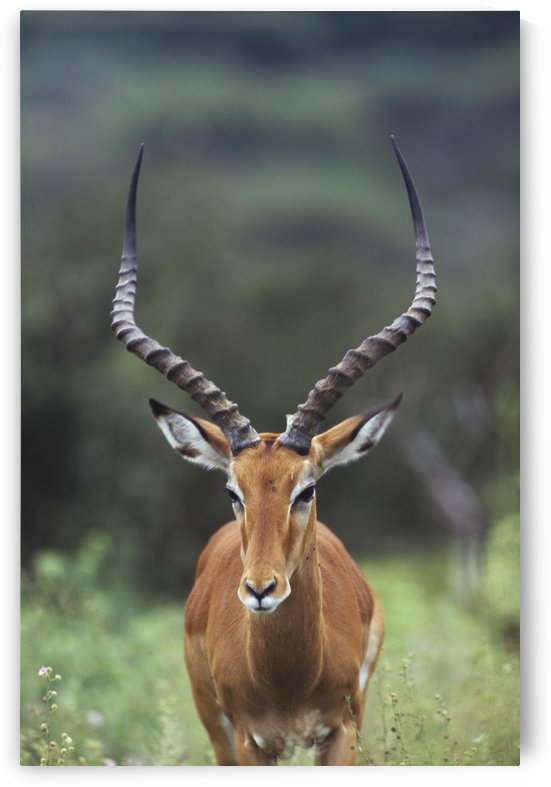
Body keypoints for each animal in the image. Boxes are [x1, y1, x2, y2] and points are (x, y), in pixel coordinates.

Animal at [111, 138, 435, 765]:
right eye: (231, 491)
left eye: (306, 489)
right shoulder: (249, 740)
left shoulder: (341, 733)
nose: (261, 590)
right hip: (216, 732)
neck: (288, 677)